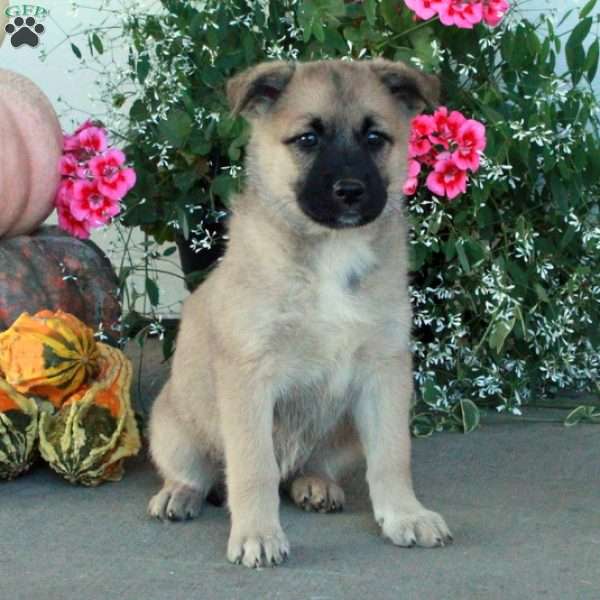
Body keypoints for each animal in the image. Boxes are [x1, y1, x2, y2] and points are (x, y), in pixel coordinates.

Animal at [148, 59, 452, 568]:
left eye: (375, 138)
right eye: (308, 139)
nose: (350, 192)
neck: (330, 252)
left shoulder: (385, 370)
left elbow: (393, 455)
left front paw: (406, 515)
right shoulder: (250, 376)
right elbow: (253, 467)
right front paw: (257, 533)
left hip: (343, 435)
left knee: (303, 469)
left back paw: (315, 484)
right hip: (171, 427)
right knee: (201, 472)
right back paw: (180, 494)